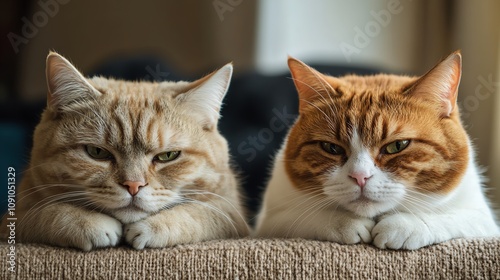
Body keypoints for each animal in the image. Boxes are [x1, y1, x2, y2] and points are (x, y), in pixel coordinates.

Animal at [0, 51, 250, 250]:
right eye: (97, 152)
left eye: (167, 156)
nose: (133, 185)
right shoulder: (15, 217)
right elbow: (51, 212)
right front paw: (86, 222)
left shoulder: (232, 213)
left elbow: (197, 214)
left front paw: (157, 226)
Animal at [256, 50, 498, 249]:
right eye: (331, 148)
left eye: (397, 146)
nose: (360, 177)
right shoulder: (270, 222)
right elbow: (307, 218)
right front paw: (346, 223)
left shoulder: (485, 221)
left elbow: (450, 217)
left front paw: (404, 225)